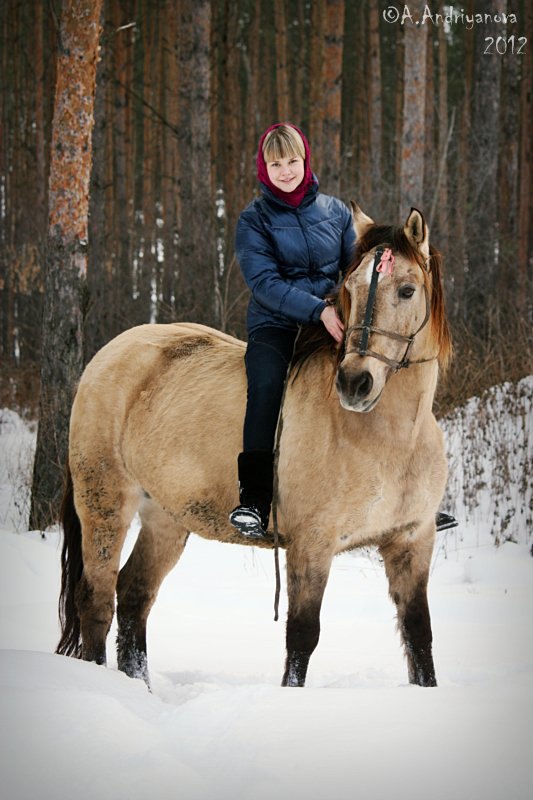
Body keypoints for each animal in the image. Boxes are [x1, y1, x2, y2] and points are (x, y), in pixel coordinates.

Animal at [56, 205, 450, 688]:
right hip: (105, 502)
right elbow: (302, 637)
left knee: (134, 598)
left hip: (165, 516)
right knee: (96, 600)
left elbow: (419, 635)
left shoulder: (412, 541)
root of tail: (104, 357)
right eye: (350, 289)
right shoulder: (312, 545)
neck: (390, 440)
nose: (355, 383)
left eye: (407, 290)